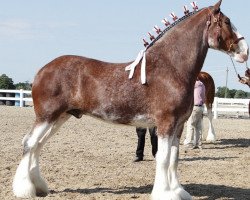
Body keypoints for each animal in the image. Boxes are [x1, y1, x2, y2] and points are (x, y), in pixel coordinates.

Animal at [13, 0, 248, 199]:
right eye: (227, 21)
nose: (244, 51)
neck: (171, 67)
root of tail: (42, 70)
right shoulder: (166, 123)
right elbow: (163, 158)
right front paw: (165, 193)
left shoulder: (178, 125)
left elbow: (174, 158)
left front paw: (178, 191)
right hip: (47, 116)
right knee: (30, 143)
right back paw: (25, 190)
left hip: (60, 117)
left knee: (38, 145)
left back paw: (39, 187)